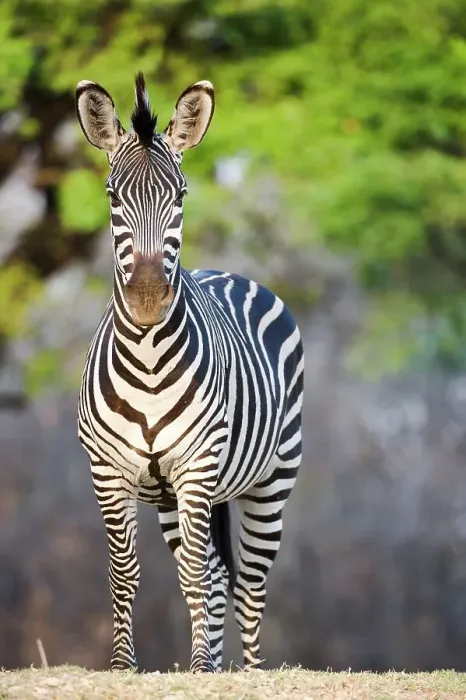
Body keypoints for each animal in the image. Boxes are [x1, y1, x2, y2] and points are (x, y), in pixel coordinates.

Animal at [76, 72, 304, 673]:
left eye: (179, 196)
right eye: (112, 196)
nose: (147, 298)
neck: (149, 361)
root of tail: (226, 272)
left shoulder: (196, 467)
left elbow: (196, 574)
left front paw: (201, 667)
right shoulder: (109, 473)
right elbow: (126, 573)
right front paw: (123, 667)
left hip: (272, 479)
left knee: (248, 582)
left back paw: (245, 673)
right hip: (172, 499)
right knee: (221, 575)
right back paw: (219, 668)